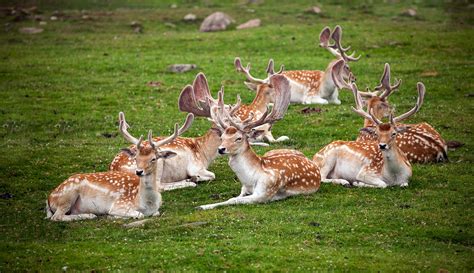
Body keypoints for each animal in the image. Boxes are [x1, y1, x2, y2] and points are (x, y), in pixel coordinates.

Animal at [45, 112, 192, 221]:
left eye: (153, 158)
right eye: (136, 158)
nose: (139, 171)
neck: (146, 204)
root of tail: (49, 198)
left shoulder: (156, 210)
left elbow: (155, 213)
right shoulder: (119, 204)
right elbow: (138, 214)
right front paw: (113, 216)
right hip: (66, 196)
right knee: (56, 217)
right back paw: (89, 215)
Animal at [196, 74, 322, 208]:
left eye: (239, 138)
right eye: (222, 137)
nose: (221, 149)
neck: (250, 180)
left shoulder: (264, 192)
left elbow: (234, 200)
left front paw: (203, 206)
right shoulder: (244, 188)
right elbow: (235, 197)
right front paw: (205, 205)